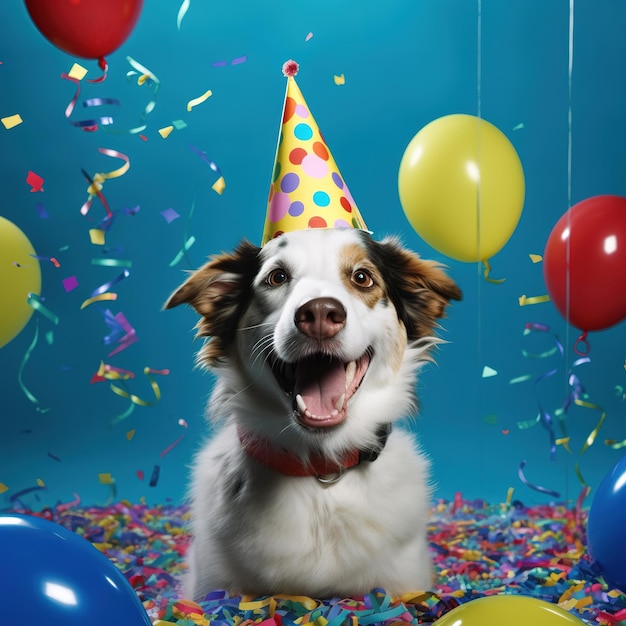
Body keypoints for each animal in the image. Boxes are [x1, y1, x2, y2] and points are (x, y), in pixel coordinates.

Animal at [165, 227, 458, 596]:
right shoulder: (212, 586)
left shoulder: (407, 582)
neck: (322, 470)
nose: (319, 315)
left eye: (362, 277)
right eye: (276, 277)